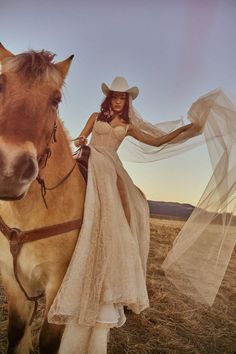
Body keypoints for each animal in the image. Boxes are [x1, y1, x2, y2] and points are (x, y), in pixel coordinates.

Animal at [0, 44, 85, 354]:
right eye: (0, 83)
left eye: (56, 99)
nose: (10, 169)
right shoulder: (12, 279)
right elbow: (15, 331)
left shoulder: (60, 287)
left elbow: (49, 341)